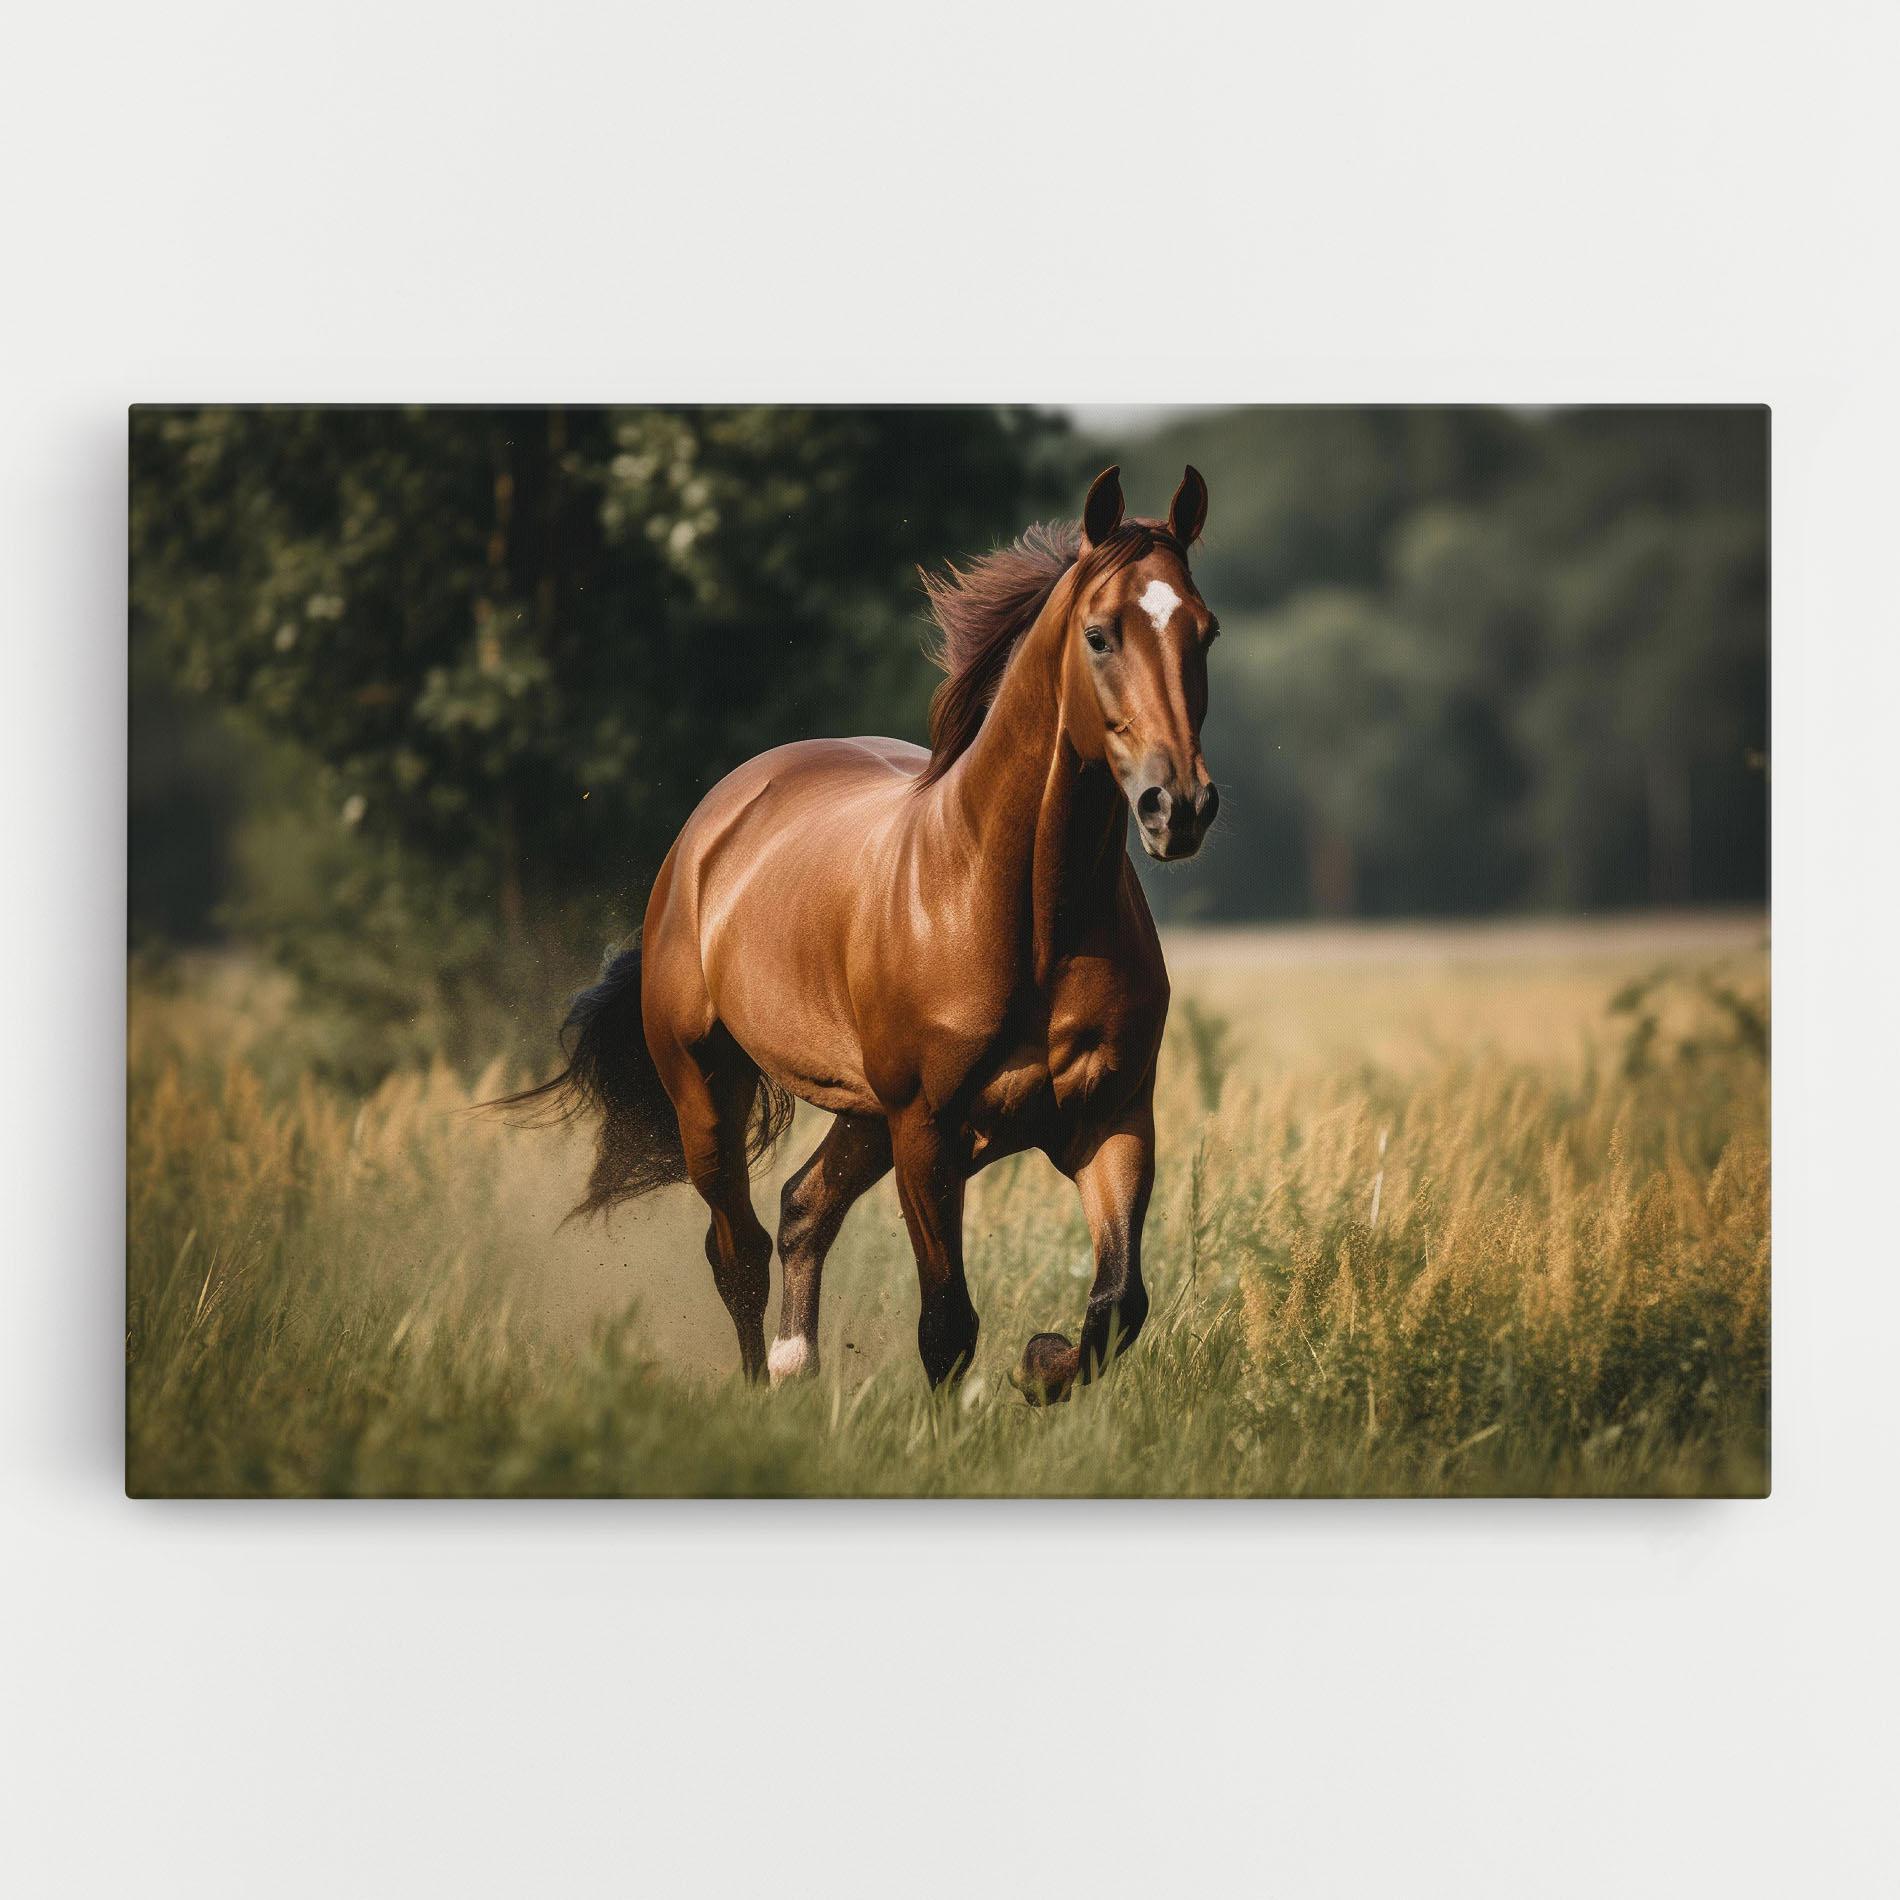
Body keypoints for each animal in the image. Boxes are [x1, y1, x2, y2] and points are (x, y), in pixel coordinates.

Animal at [505, 464, 1220, 1403]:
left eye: (1205, 632)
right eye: (1100, 635)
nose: (1180, 808)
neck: (1028, 920)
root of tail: (707, 832)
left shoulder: (1114, 1118)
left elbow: (1117, 1305)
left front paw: (1040, 1365)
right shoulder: (927, 1131)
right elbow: (947, 1326)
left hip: (864, 1115)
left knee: (803, 1209)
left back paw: (796, 1364)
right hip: (710, 1094)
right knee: (738, 1251)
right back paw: (761, 1387)